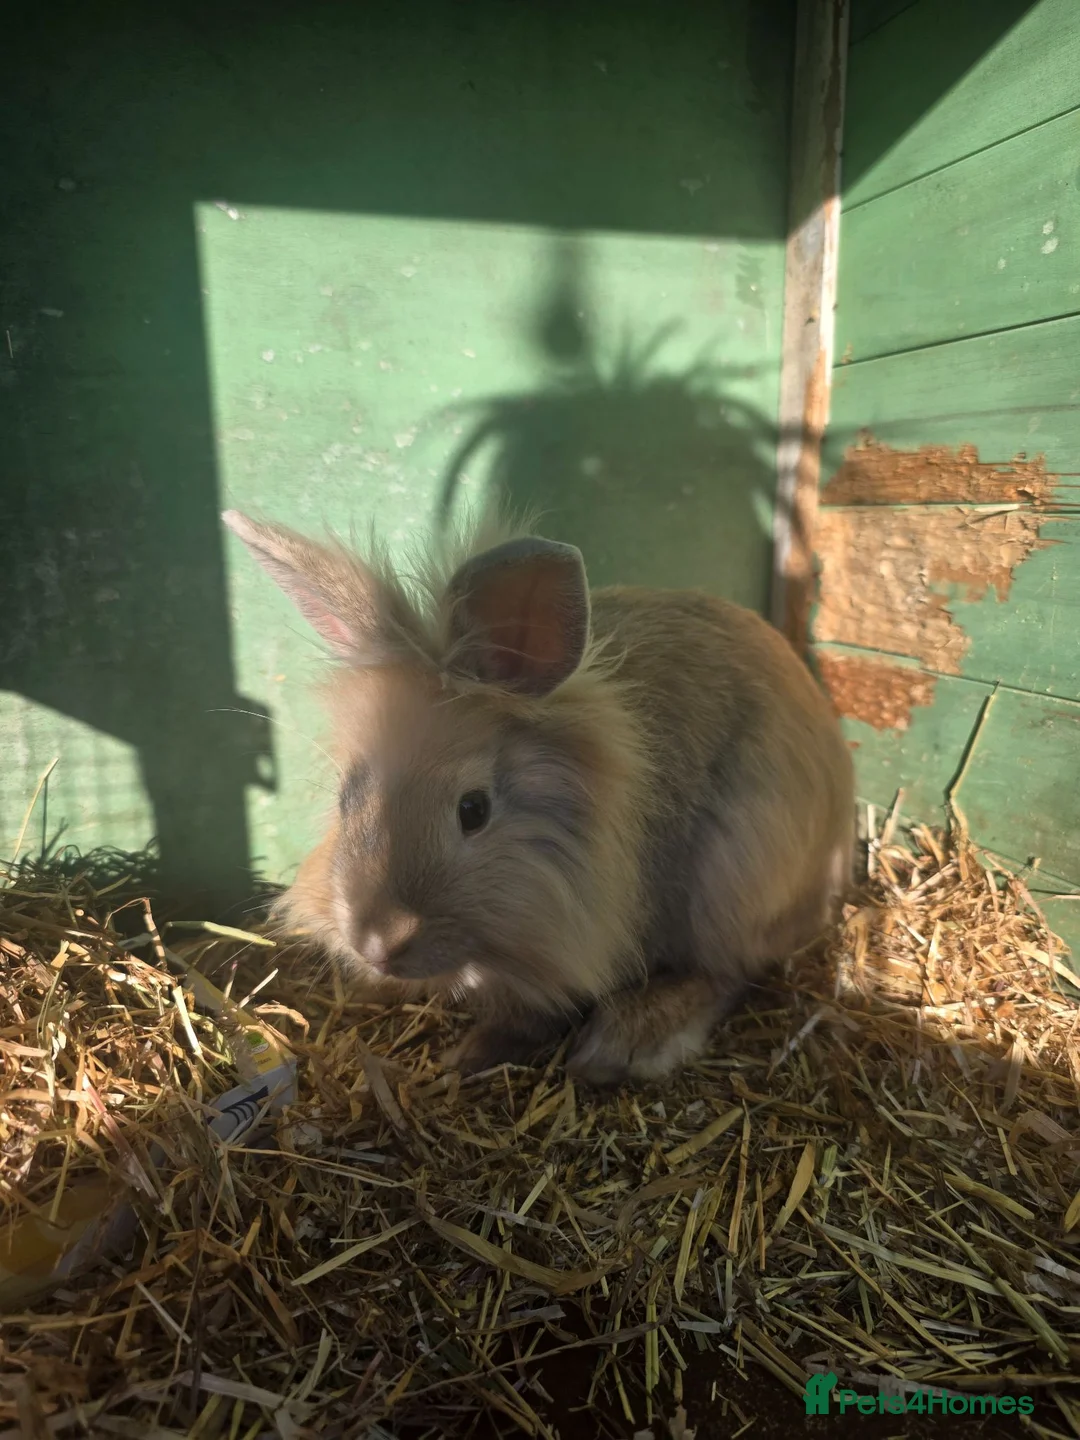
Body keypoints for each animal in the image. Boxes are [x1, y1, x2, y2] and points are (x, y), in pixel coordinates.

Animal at [223, 507, 854, 1086]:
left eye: (473, 810)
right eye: (347, 797)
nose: (377, 941)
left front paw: (468, 1058)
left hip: (735, 878)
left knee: (730, 971)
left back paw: (624, 1044)